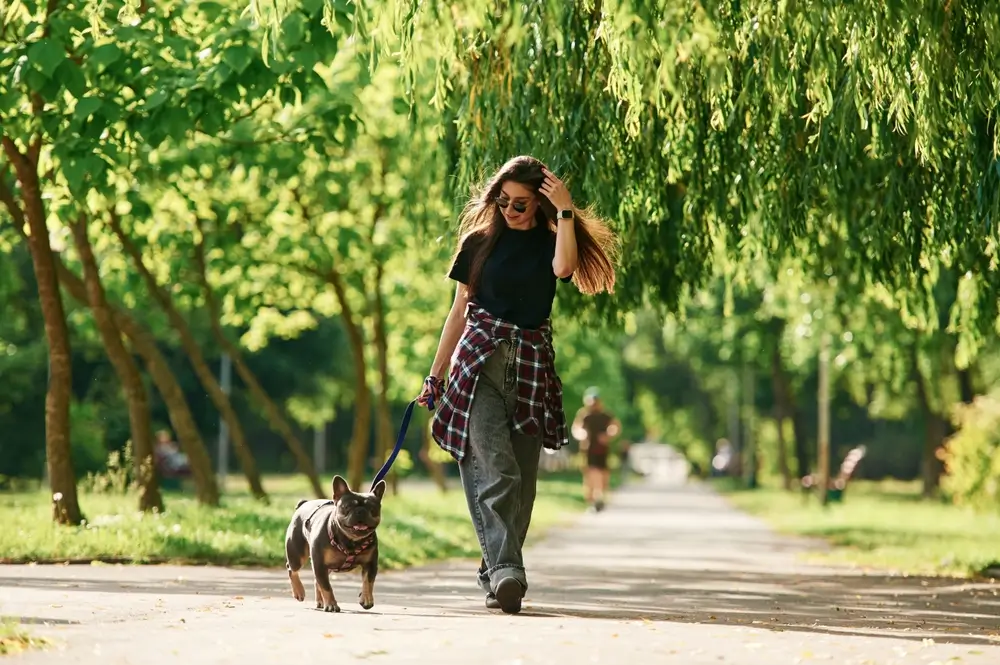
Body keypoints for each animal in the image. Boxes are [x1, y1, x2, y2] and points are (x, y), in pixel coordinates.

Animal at [288, 472, 388, 612]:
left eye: (372, 508)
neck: (351, 540)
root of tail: (304, 504)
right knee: (292, 569)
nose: (361, 511)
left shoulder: (370, 564)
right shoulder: (320, 564)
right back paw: (299, 592)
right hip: (297, 556)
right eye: (347, 506)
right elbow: (326, 586)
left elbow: (368, 582)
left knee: (316, 581)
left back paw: (320, 601)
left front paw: (366, 599)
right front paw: (331, 604)